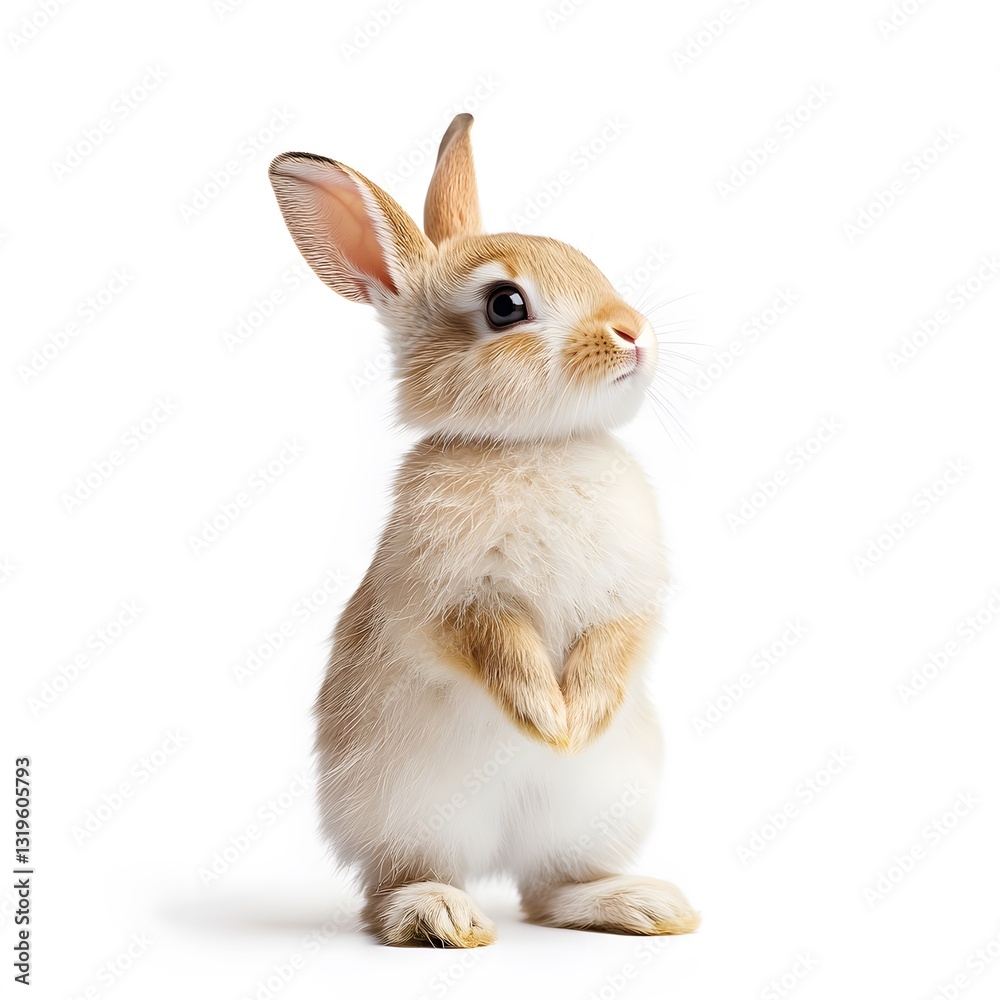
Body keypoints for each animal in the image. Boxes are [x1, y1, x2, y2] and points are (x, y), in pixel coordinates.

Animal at [268, 114, 699, 947]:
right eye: (505, 305)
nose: (632, 332)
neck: (537, 445)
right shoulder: (454, 595)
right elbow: (495, 645)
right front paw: (547, 719)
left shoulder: (629, 597)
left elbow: (616, 642)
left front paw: (575, 723)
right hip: (406, 809)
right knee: (397, 884)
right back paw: (440, 914)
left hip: (600, 808)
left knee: (549, 889)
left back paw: (642, 904)